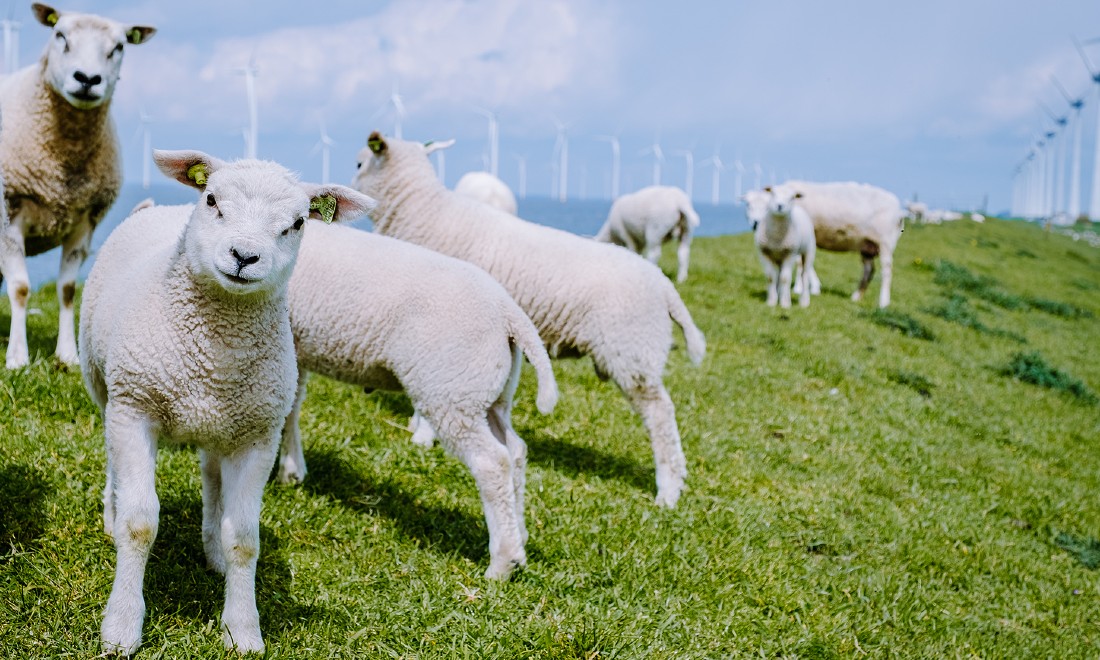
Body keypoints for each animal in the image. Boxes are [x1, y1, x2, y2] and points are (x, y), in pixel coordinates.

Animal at [0, 2, 156, 369]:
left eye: (119, 47)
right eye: (60, 35)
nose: (87, 79)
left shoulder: (86, 220)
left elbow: (68, 289)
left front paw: (68, 354)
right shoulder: (9, 211)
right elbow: (20, 288)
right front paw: (17, 356)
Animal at [79, 150, 376, 655]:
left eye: (298, 223)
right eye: (213, 200)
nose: (244, 257)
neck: (215, 352)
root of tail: (156, 208)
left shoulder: (259, 437)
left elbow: (245, 540)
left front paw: (242, 629)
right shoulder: (135, 407)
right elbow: (140, 524)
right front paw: (121, 626)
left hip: (223, 423)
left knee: (212, 476)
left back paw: (212, 547)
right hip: (105, 385)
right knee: (113, 459)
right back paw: (110, 512)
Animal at [279, 222, 558, 576]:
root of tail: (509, 313)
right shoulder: (293, 344)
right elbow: (292, 406)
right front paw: (291, 470)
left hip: (451, 390)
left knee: (493, 463)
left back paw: (503, 563)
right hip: (488, 394)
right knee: (515, 451)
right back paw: (518, 539)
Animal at [356, 131, 708, 508]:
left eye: (359, 163)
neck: (426, 213)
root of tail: (664, 286)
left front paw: (422, 435)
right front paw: (417, 425)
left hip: (633, 353)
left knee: (661, 417)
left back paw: (668, 491)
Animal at [783, 180, 902, 310]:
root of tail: (899, 212)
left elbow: (801, 262)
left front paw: (800, 288)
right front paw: (812, 287)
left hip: (885, 242)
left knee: (887, 271)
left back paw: (883, 303)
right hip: (867, 246)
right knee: (869, 270)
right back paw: (856, 297)